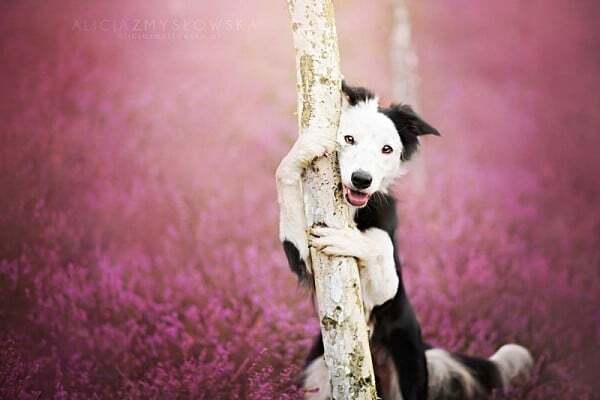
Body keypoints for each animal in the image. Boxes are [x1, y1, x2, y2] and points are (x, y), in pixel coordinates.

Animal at [276, 82, 536, 400]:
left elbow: (381, 245)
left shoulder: (385, 290)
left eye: (386, 149)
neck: (353, 209)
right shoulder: (305, 257)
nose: (362, 179)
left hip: (408, 363)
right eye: (349, 139)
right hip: (320, 374)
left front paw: (349, 239)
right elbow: (283, 177)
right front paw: (304, 148)